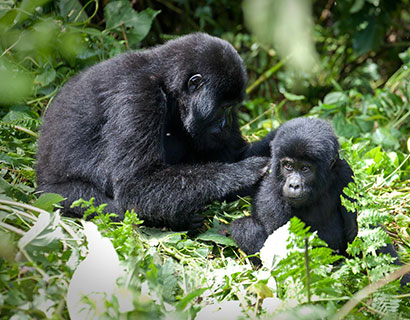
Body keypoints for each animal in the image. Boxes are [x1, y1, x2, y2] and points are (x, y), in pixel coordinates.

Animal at [35, 33, 272, 230]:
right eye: (224, 108)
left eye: (233, 107)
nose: (226, 125)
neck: (167, 82)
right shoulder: (139, 93)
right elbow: (135, 184)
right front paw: (243, 172)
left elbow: (235, 154)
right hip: (52, 195)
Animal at [229, 119, 358, 256]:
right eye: (288, 165)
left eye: (305, 169)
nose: (294, 185)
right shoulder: (270, 193)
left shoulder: (345, 173)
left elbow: (354, 232)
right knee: (245, 227)